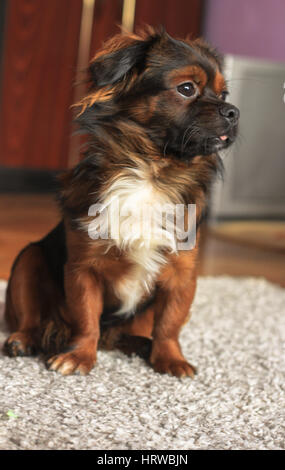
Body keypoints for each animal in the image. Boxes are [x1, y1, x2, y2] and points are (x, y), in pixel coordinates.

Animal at [3, 26, 239, 378]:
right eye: (186, 89)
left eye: (223, 95)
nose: (234, 111)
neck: (151, 171)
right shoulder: (83, 269)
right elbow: (86, 318)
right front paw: (79, 355)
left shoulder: (181, 275)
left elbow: (169, 324)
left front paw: (170, 359)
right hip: (28, 260)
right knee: (32, 318)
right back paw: (23, 339)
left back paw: (139, 344)